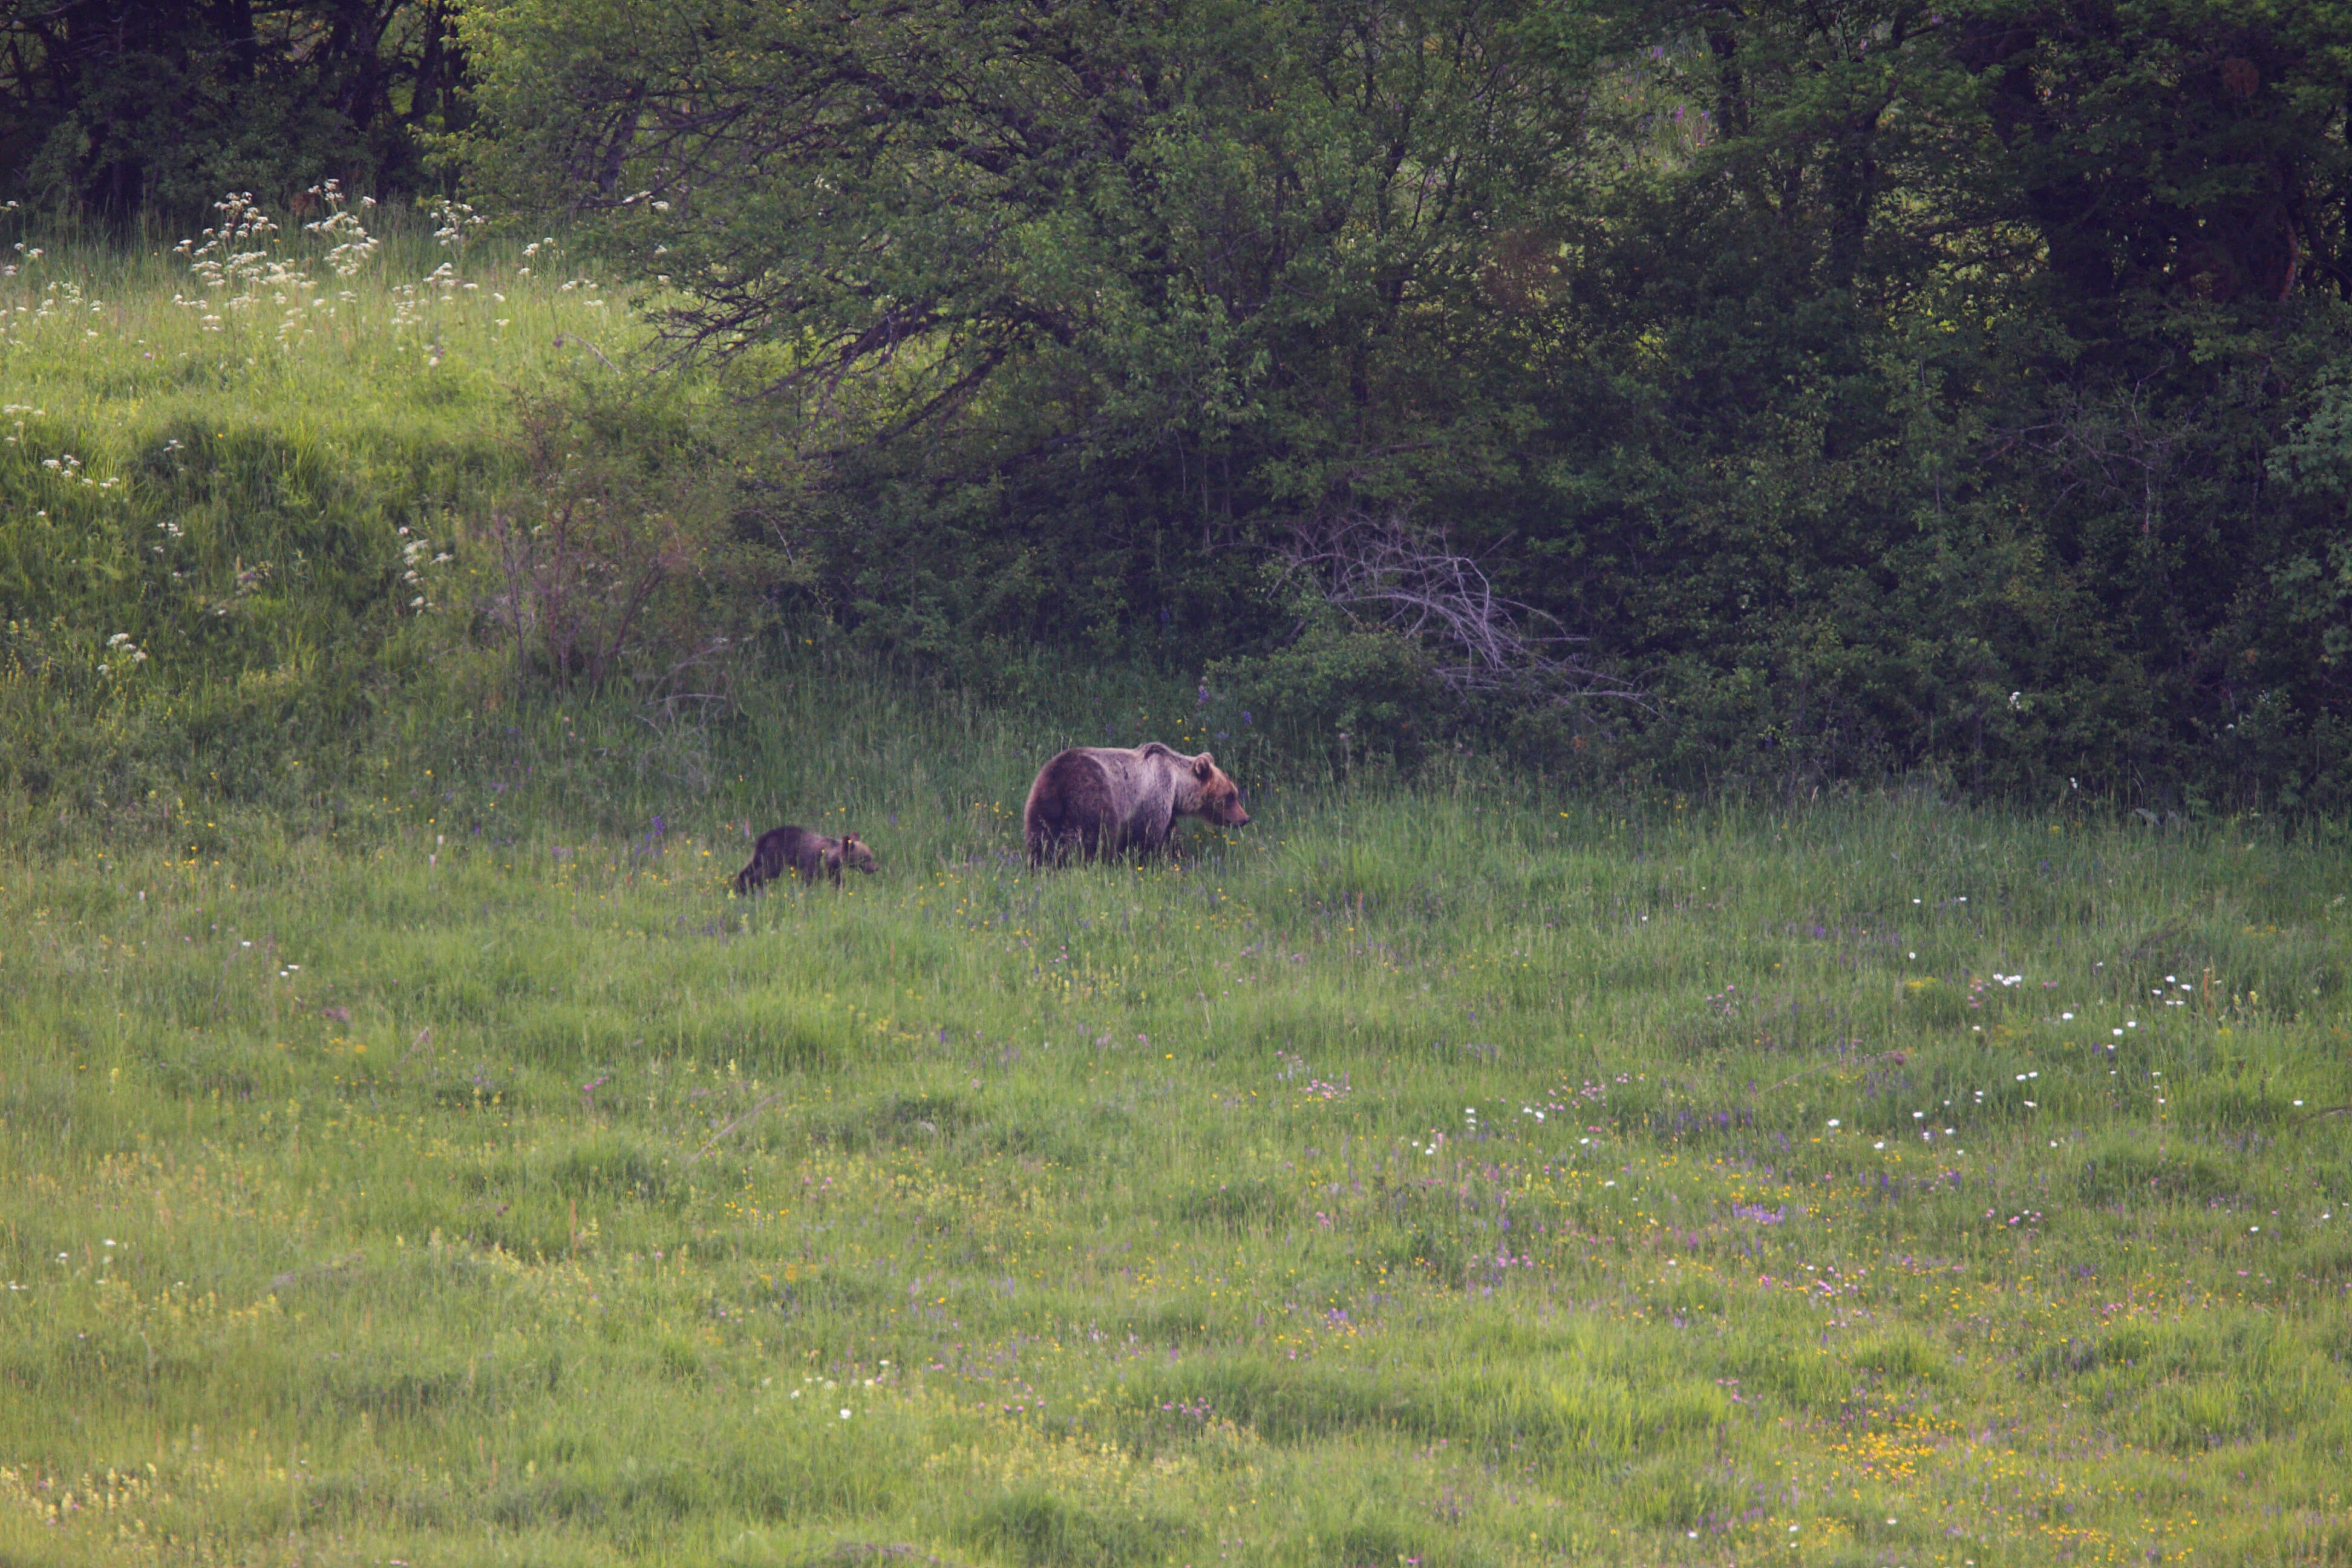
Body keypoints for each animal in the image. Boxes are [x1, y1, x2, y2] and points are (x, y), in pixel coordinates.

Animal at [729, 823, 880, 893]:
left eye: (870, 856)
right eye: (865, 858)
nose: (876, 868)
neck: (831, 857)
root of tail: (763, 837)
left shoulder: (834, 870)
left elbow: (838, 882)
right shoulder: (814, 863)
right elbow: (808, 880)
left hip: (761, 855)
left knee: (747, 869)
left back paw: (740, 887)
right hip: (775, 856)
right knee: (763, 873)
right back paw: (752, 887)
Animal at [1030, 738, 1251, 865]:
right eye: (1230, 795)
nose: (1245, 819)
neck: (1178, 786)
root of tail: (1060, 778)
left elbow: (1171, 838)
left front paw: (1183, 860)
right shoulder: (1154, 794)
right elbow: (1144, 836)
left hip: (1043, 801)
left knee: (1041, 838)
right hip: (1093, 794)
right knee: (1098, 836)